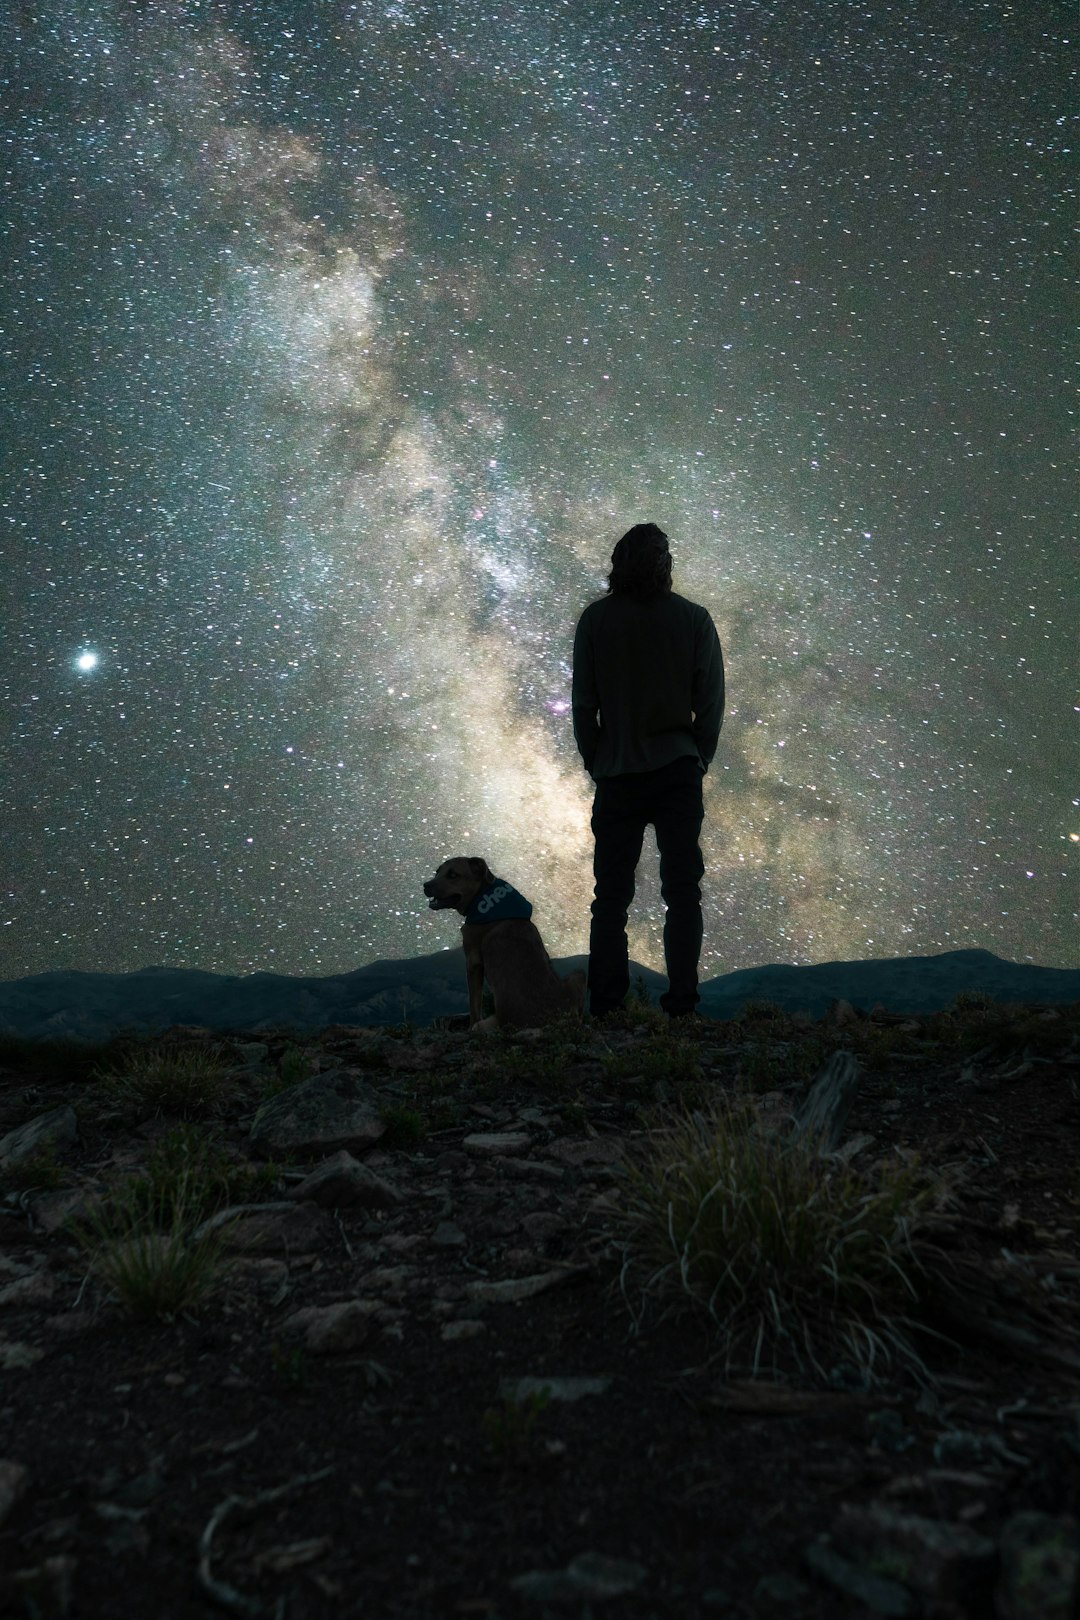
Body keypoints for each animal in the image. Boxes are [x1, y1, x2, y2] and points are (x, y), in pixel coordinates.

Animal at [424, 855, 592, 1030]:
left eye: (453, 875)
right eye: (437, 871)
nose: (425, 885)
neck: (482, 896)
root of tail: (554, 1021)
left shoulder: (473, 963)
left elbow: (474, 1005)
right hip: (579, 975)